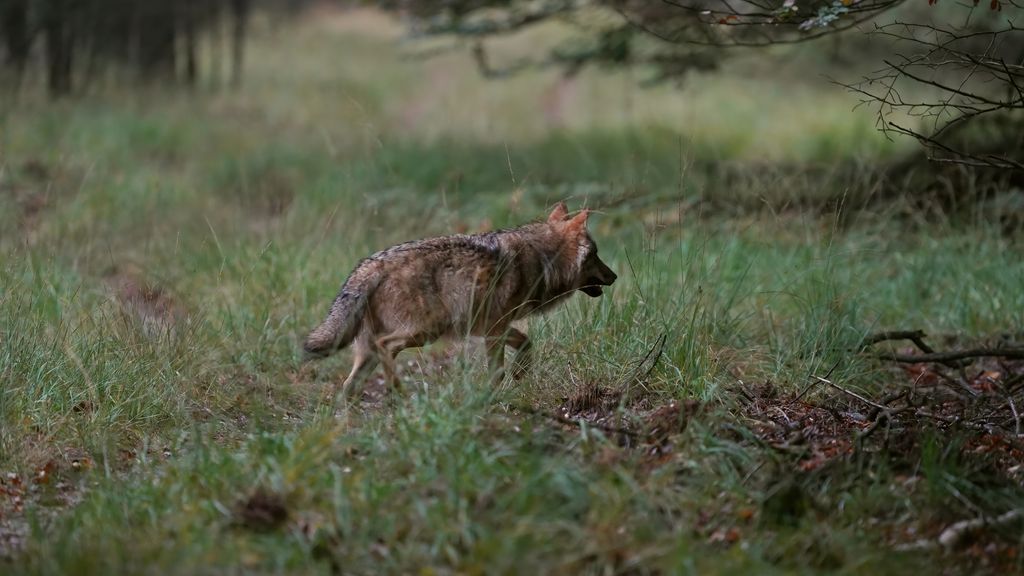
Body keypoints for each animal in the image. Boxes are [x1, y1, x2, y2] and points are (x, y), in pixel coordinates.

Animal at [303, 202, 617, 399]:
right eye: (596, 254)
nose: (614, 276)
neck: (542, 259)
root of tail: (371, 264)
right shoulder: (494, 330)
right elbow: (498, 371)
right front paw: (492, 395)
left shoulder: (493, 328)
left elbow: (527, 344)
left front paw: (519, 374)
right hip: (425, 332)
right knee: (386, 348)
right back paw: (399, 394)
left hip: (372, 350)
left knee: (348, 387)